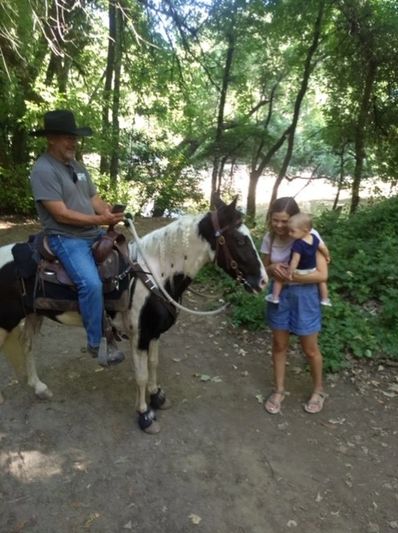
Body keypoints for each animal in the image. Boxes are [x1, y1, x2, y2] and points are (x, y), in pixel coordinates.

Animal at [0, 198, 268, 432]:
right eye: (240, 240)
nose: (263, 282)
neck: (156, 275)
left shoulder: (154, 333)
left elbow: (153, 364)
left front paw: (157, 395)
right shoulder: (139, 336)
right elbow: (140, 375)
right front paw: (144, 414)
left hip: (34, 314)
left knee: (27, 345)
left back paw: (39, 387)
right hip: (6, 321)